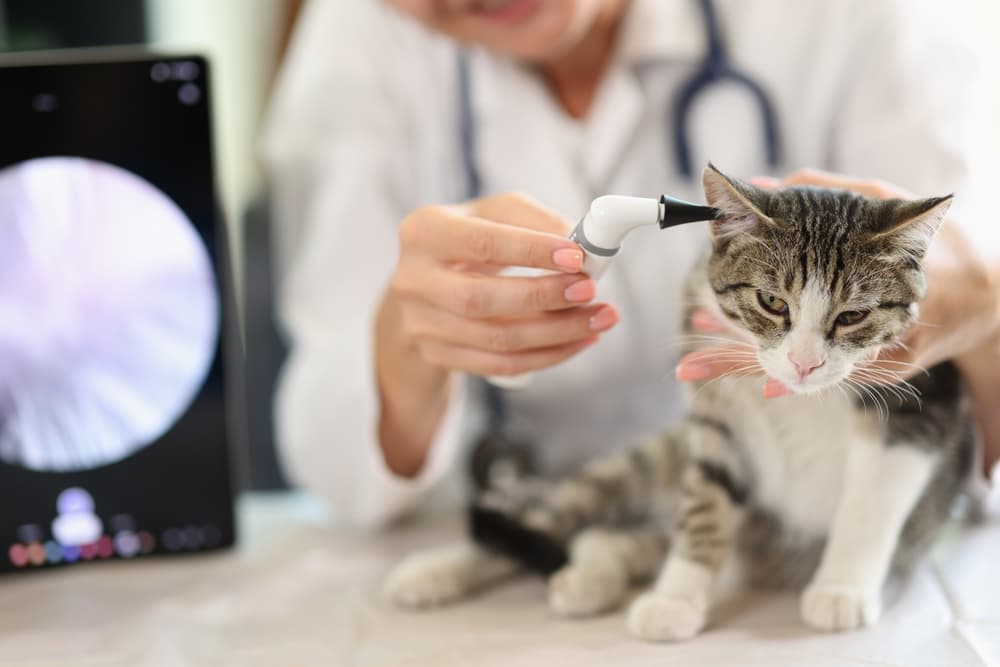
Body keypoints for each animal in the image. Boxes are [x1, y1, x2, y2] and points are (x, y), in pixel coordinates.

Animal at [382, 163, 976, 640]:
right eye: (771, 301)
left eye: (852, 316)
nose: (804, 363)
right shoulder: (712, 406)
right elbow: (706, 498)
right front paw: (676, 597)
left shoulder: (925, 397)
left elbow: (872, 503)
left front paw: (841, 588)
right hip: (648, 462)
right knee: (563, 514)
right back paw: (438, 570)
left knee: (604, 537)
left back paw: (589, 575)